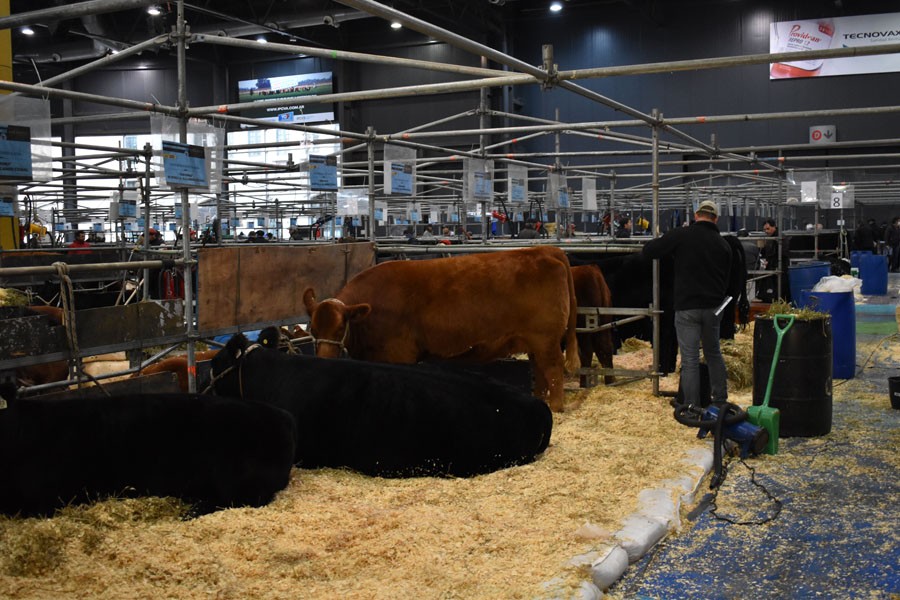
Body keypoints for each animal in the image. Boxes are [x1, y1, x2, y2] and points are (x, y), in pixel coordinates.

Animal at [302, 245, 579, 412]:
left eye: (341, 328)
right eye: (312, 330)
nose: (324, 361)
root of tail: (544, 249)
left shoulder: (399, 355)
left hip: (545, 338)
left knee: (553, 368)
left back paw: (556, 406)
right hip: (535, 342)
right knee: (539, 369)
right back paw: (541, 400)